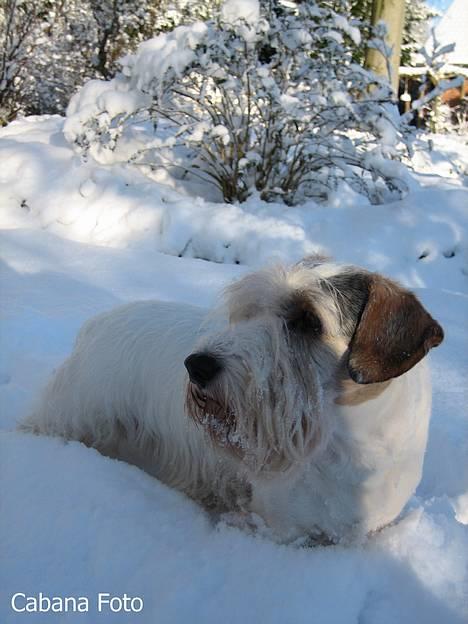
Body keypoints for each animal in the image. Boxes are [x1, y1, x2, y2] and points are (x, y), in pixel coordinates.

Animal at [21, 258, 442, 540]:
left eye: (308, 320)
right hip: (73, 416)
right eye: (251, 310)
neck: (347, 444)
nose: (196, 365)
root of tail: (98, 321)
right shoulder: (276, 527)